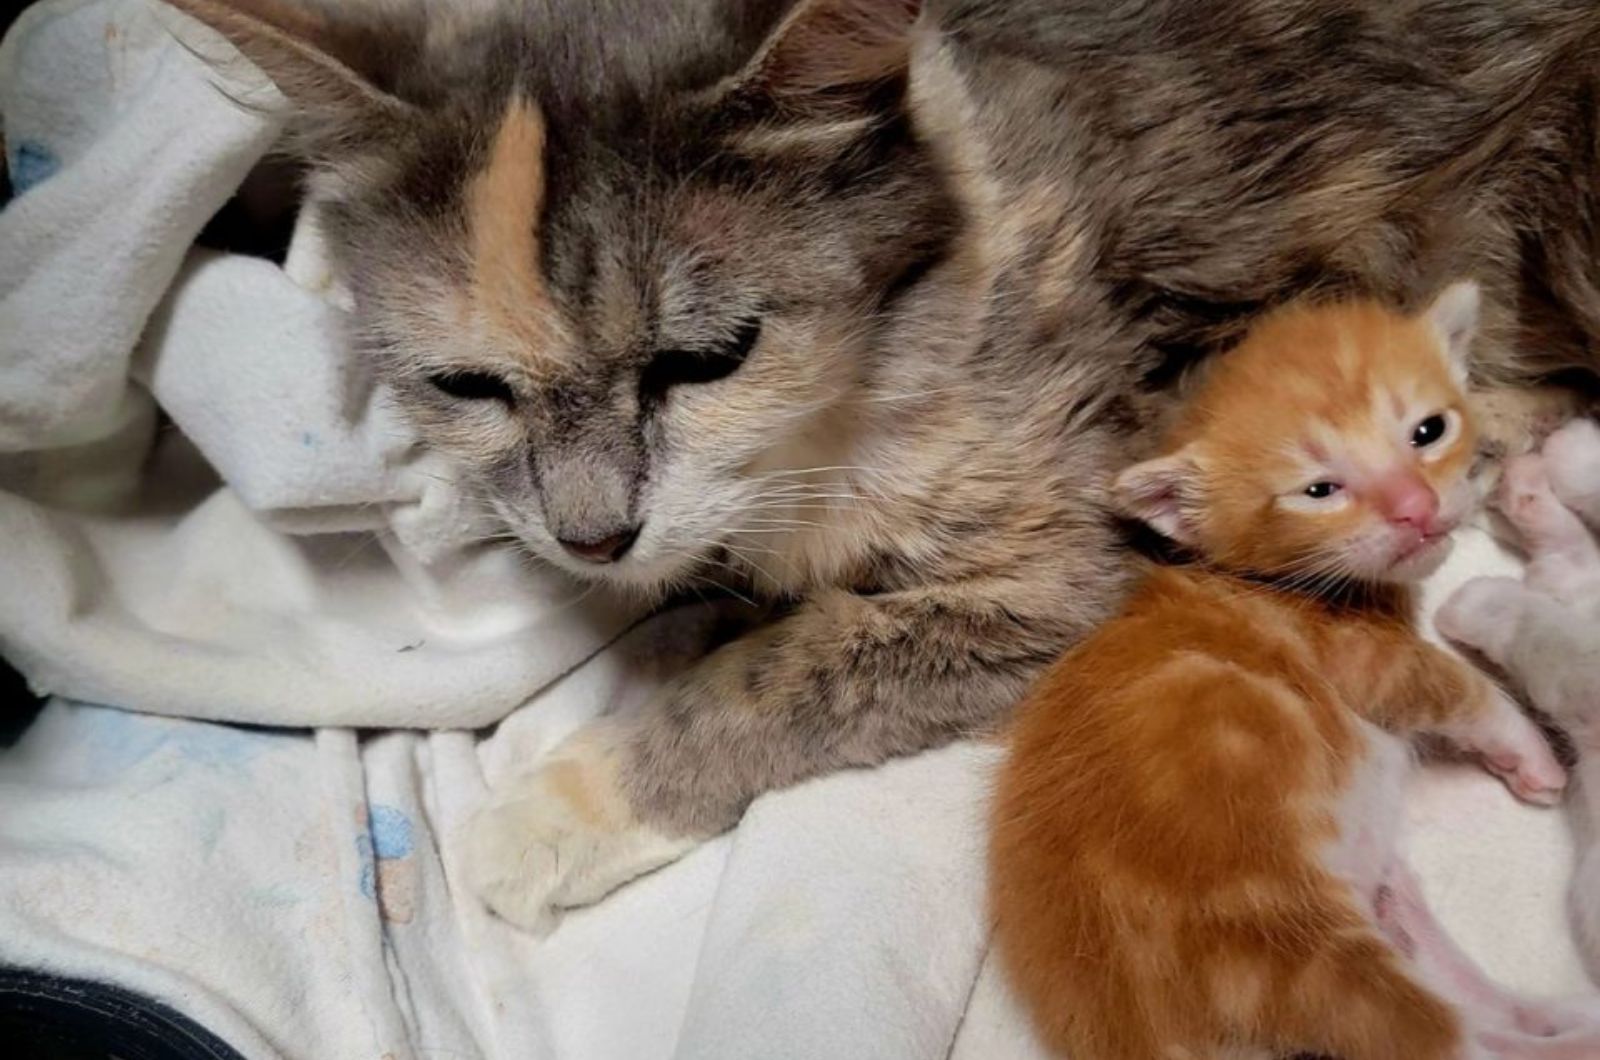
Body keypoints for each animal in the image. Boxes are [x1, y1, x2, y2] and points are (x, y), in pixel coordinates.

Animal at [152, 0, 1600, 928]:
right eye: (465, 386)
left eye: (707, 357)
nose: (590, 537)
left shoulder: (1084, 556)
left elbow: (797, 665)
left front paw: (562, 808)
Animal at [985, 286, 1600, 1060]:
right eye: (1319, 491)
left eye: (1428, 431)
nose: (1417, 510)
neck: (1275, 583)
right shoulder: (1359, 658)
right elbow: (1459, 689)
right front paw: (1529, 750)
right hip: (1292, 950)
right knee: (1447, 1039)